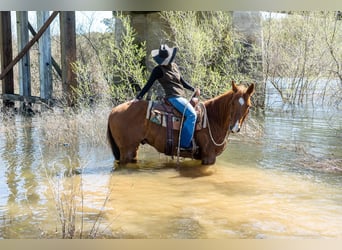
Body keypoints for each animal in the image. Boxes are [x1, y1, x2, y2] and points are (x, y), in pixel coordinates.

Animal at [107, 81, 254, 166]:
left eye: (248, 106)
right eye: (232, 103)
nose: (234, 127)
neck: (213, 119)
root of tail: (113, 111)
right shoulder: (209, 157)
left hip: (131, 150)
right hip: (127, 150)